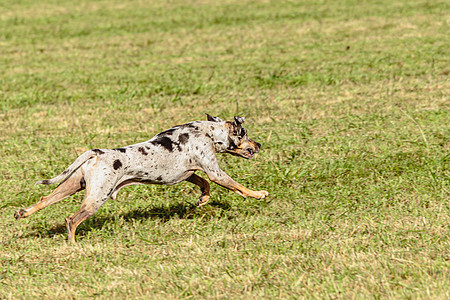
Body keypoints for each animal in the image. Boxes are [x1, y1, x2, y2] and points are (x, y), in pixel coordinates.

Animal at [14, 113, 268, 243]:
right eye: (246, 134)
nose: (259, 145)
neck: (208, 132)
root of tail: (95, 153)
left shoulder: (187, 174)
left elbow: (203, 184)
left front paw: (202, 199)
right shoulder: (215, 172)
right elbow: (239, 187)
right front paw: (259, 194)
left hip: (71, 186)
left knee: (44, 200)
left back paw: (22, 213)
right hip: (97, 197)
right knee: (72, 220)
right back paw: (74, 245)